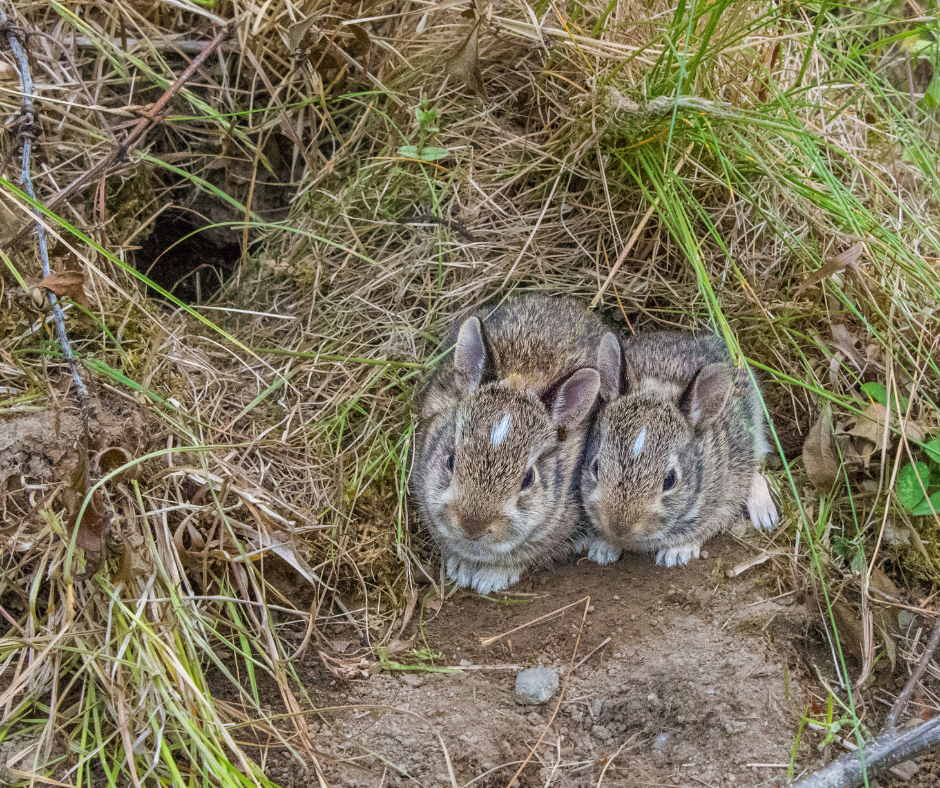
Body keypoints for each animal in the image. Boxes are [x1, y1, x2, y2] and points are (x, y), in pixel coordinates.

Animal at [580, 330, 778, 568]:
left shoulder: (725, 495)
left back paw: (764, 515)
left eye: (670, 480)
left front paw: (676, 553)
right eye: (596, 467)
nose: (620, 527)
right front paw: (603, 548)